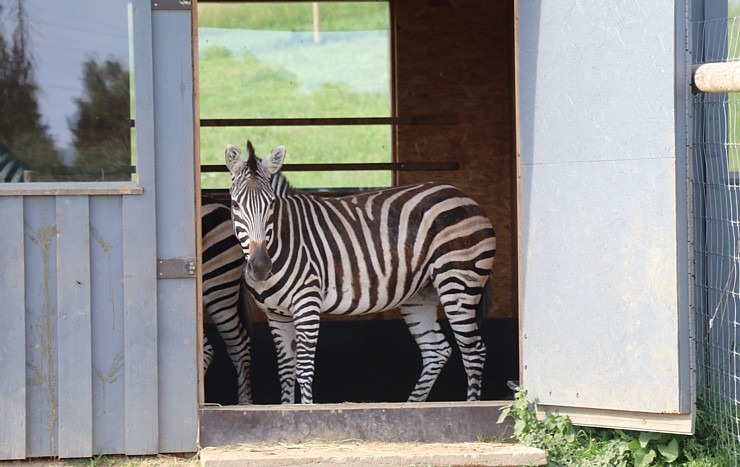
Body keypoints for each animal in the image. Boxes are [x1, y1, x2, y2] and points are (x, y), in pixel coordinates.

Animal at [223, 141, 494, 404]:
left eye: (271, 205)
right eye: (235, 205)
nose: (260, 267)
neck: (282, 239)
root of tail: (463, 196)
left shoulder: (306, 304)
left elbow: (304, 370)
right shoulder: (275, 314)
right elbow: (286, 372)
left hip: (458, 281)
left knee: (474, 352)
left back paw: (470, 406)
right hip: (420, 294)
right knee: (436, 350)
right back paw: (411, 407)